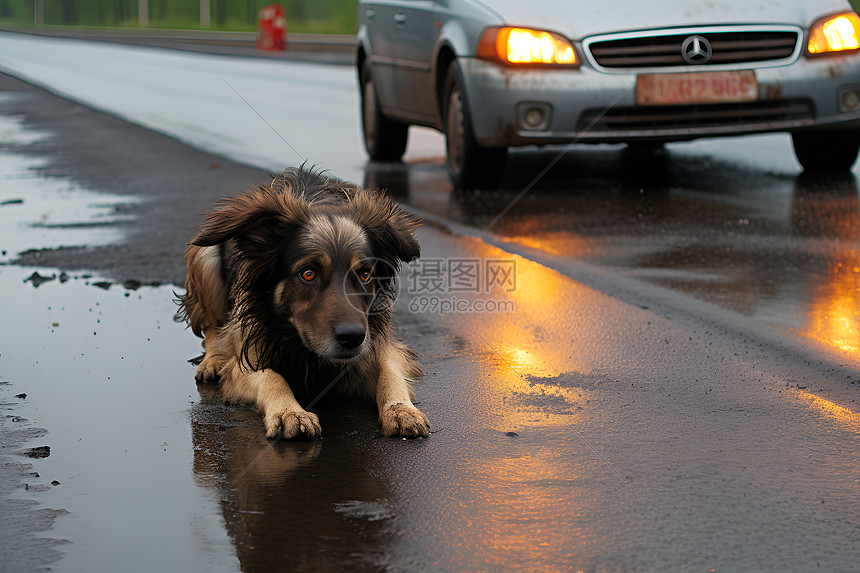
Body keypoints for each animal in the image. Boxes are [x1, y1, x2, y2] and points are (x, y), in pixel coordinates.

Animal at [175, 165, 430, 438]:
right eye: (308, 273)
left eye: (365, 274)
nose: (352, 338)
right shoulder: (245, 355)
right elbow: (271, 376)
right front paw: (290, 412)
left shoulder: (377, 344)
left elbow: (389, 371)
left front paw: (401, 409)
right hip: (203, 256)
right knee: (212, 327)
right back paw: (213, 360)